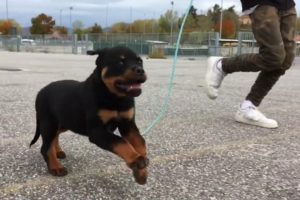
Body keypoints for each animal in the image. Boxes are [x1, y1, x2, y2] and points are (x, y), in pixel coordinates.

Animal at [29, 45, 149, 184]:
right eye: (120, 62)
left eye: (140, 61)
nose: (140, 70)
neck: (115, 97)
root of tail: (40, 91)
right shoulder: (96, 131)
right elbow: (120, 141)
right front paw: (136, 160)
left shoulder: (128, 125)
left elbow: (140, 141)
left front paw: (141, 172)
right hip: (48, 122)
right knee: (45, 147)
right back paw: (56, 167)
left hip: (65, 121)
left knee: (55, 136)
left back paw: (58, 152)